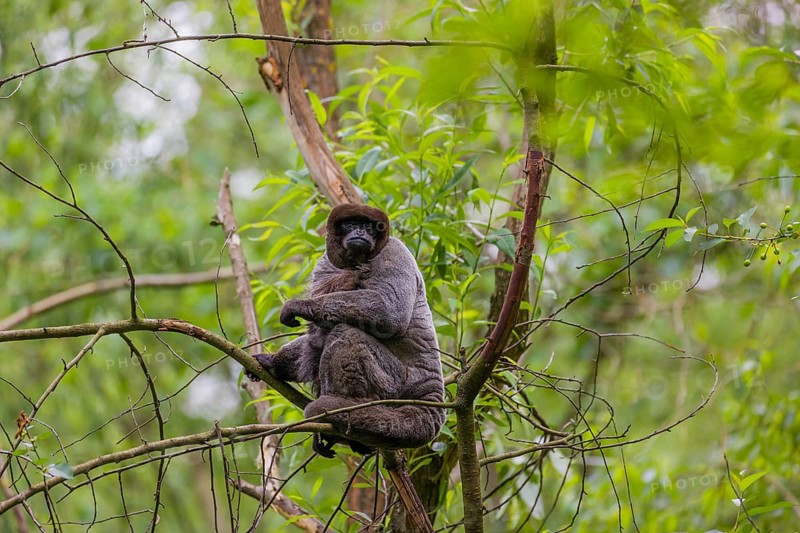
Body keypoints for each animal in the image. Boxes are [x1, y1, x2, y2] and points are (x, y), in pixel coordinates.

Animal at [250, 204, 445, 457]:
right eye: (351, 224)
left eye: (370, 226)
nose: (361, 231)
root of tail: (432, 388)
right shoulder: (324, 265)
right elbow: (313, 339)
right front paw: (272, 361)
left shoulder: (394, 250)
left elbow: (389, 312)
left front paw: (298, 306)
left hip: (398, 383)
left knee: (348, 333)